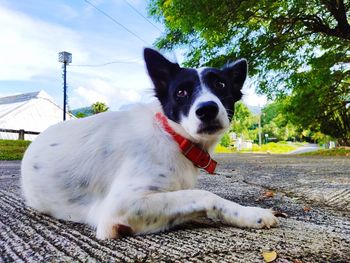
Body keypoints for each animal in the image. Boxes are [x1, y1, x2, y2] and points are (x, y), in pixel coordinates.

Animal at [21, 48, 278, 240]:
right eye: (181, 92)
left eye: (221, 86)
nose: (207, 109)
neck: (173, 138)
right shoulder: (118, 209)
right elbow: (206, 196)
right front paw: (251, 213)